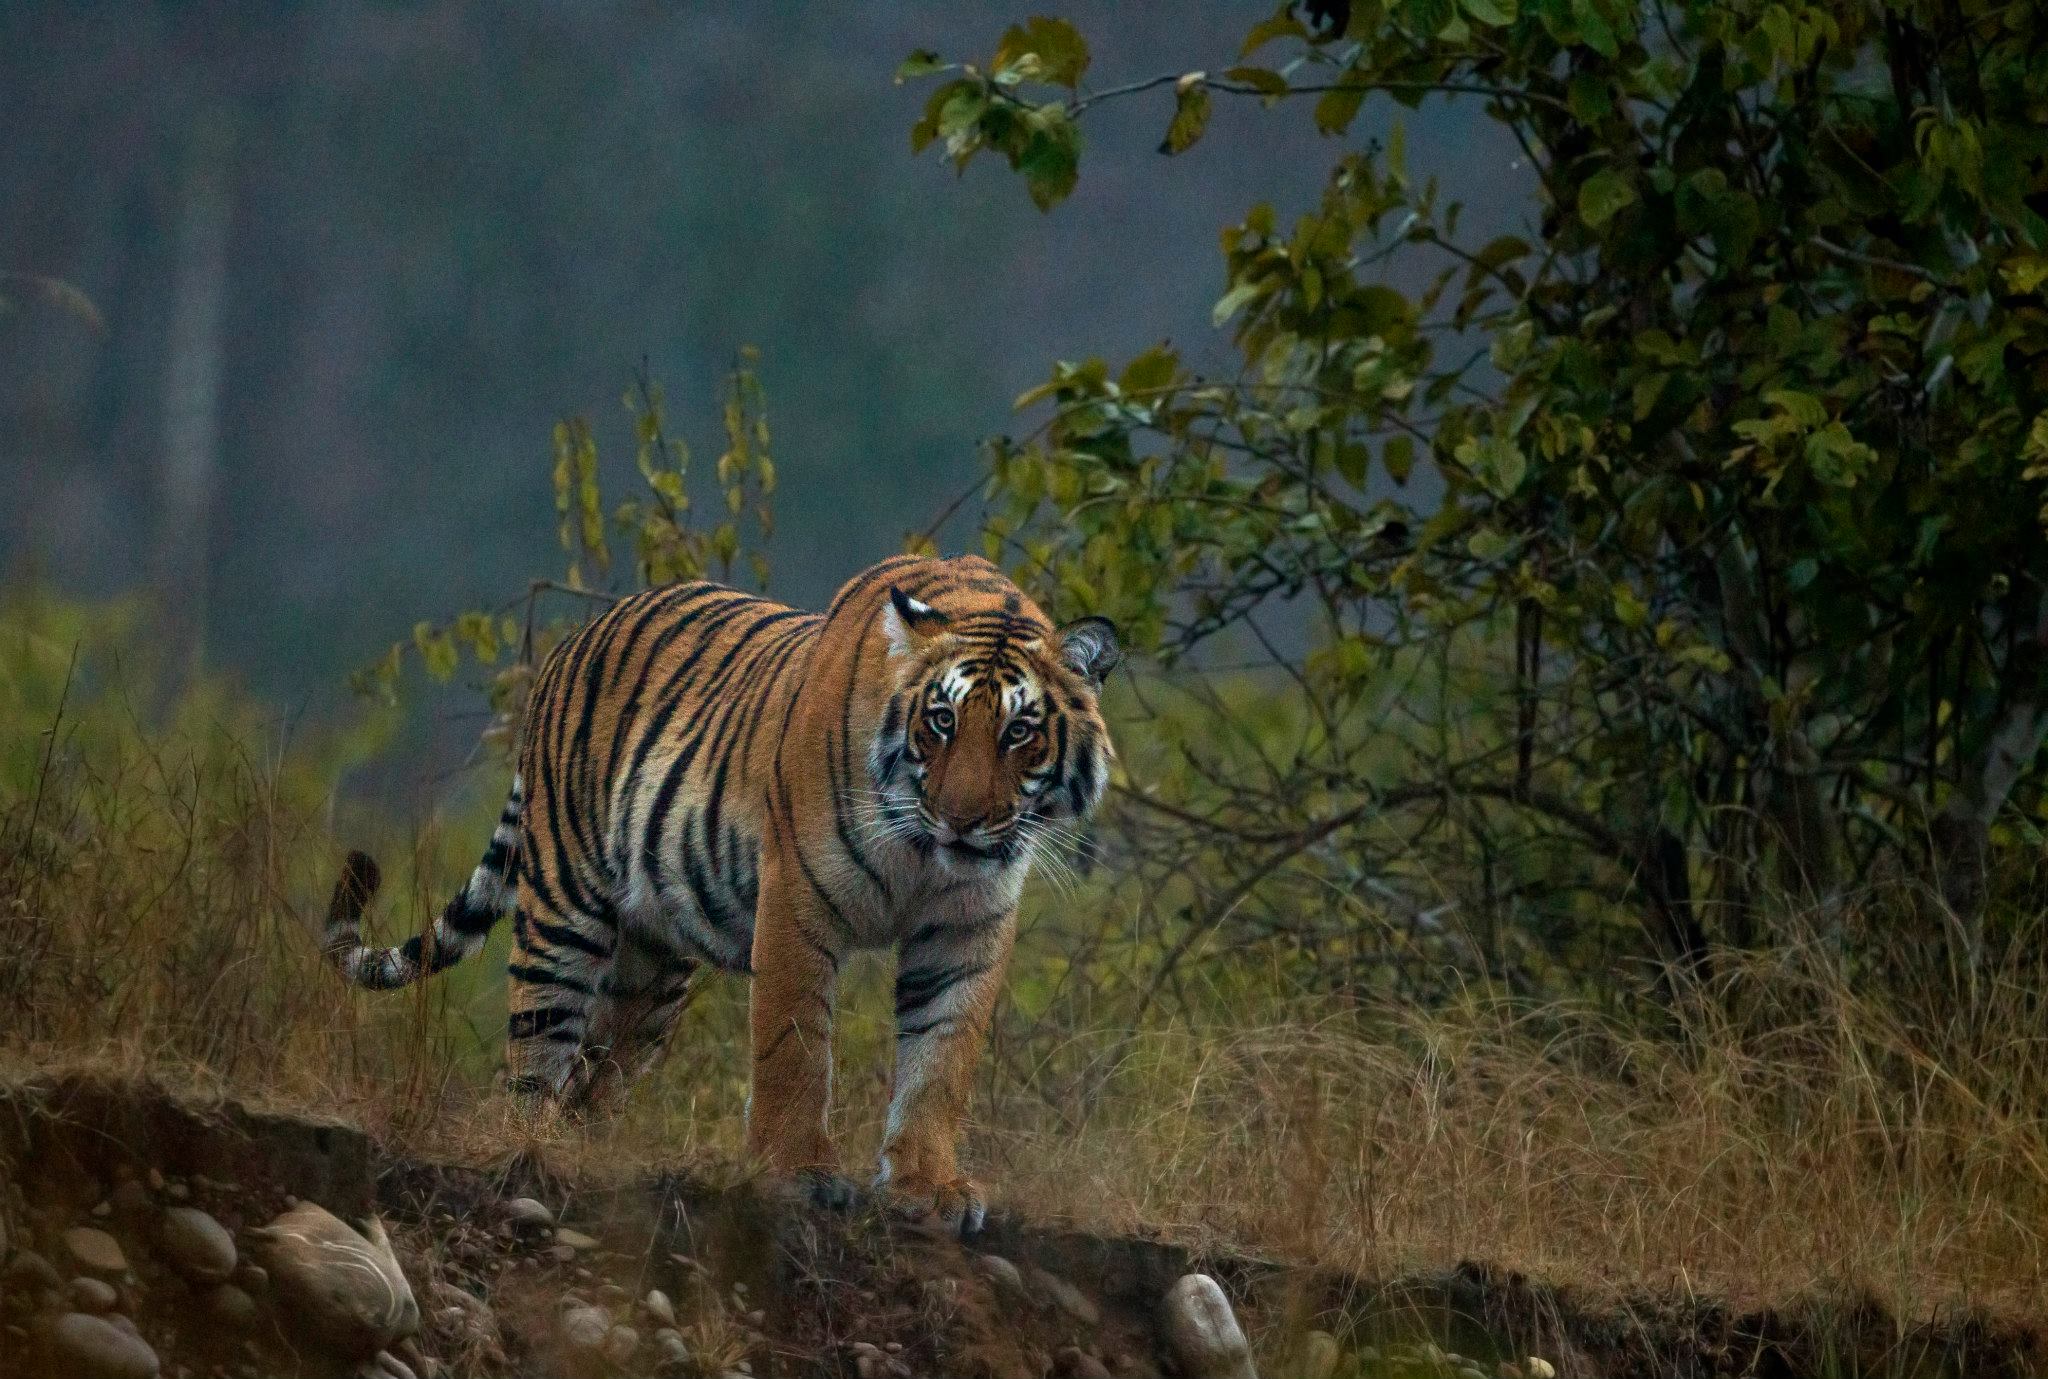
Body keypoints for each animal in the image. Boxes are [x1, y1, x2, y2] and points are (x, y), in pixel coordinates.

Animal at [319, 549, 1122, 1229]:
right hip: (564, 906)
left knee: (595, 1074)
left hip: (651, 971)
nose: (961, 821)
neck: (925, 857)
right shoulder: (798, 896)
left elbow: (940, 1058)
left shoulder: (965, 928)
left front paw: (928, 1186)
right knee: (536, 1051)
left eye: (1019, 732)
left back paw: (582, 1153)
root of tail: (576, 639)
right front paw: (798, 1173)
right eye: (942, 720)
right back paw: (531, 1151)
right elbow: (795, 1042)